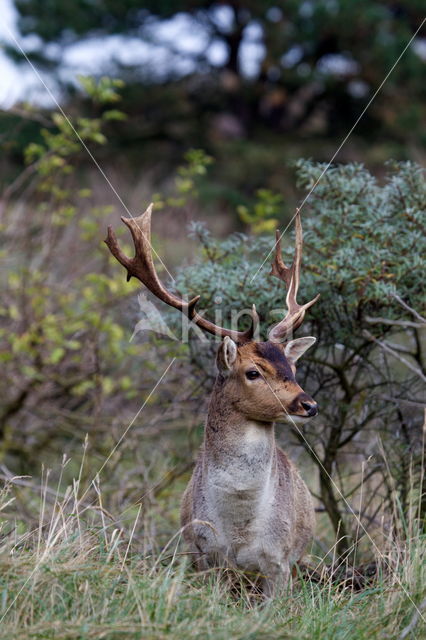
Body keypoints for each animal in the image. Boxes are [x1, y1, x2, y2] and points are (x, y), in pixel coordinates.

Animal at [105, 204, 320, 596]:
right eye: (253, 372)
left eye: (293, 368)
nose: (308, 404)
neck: (238, 529)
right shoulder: (203, 554)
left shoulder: (280, 562)